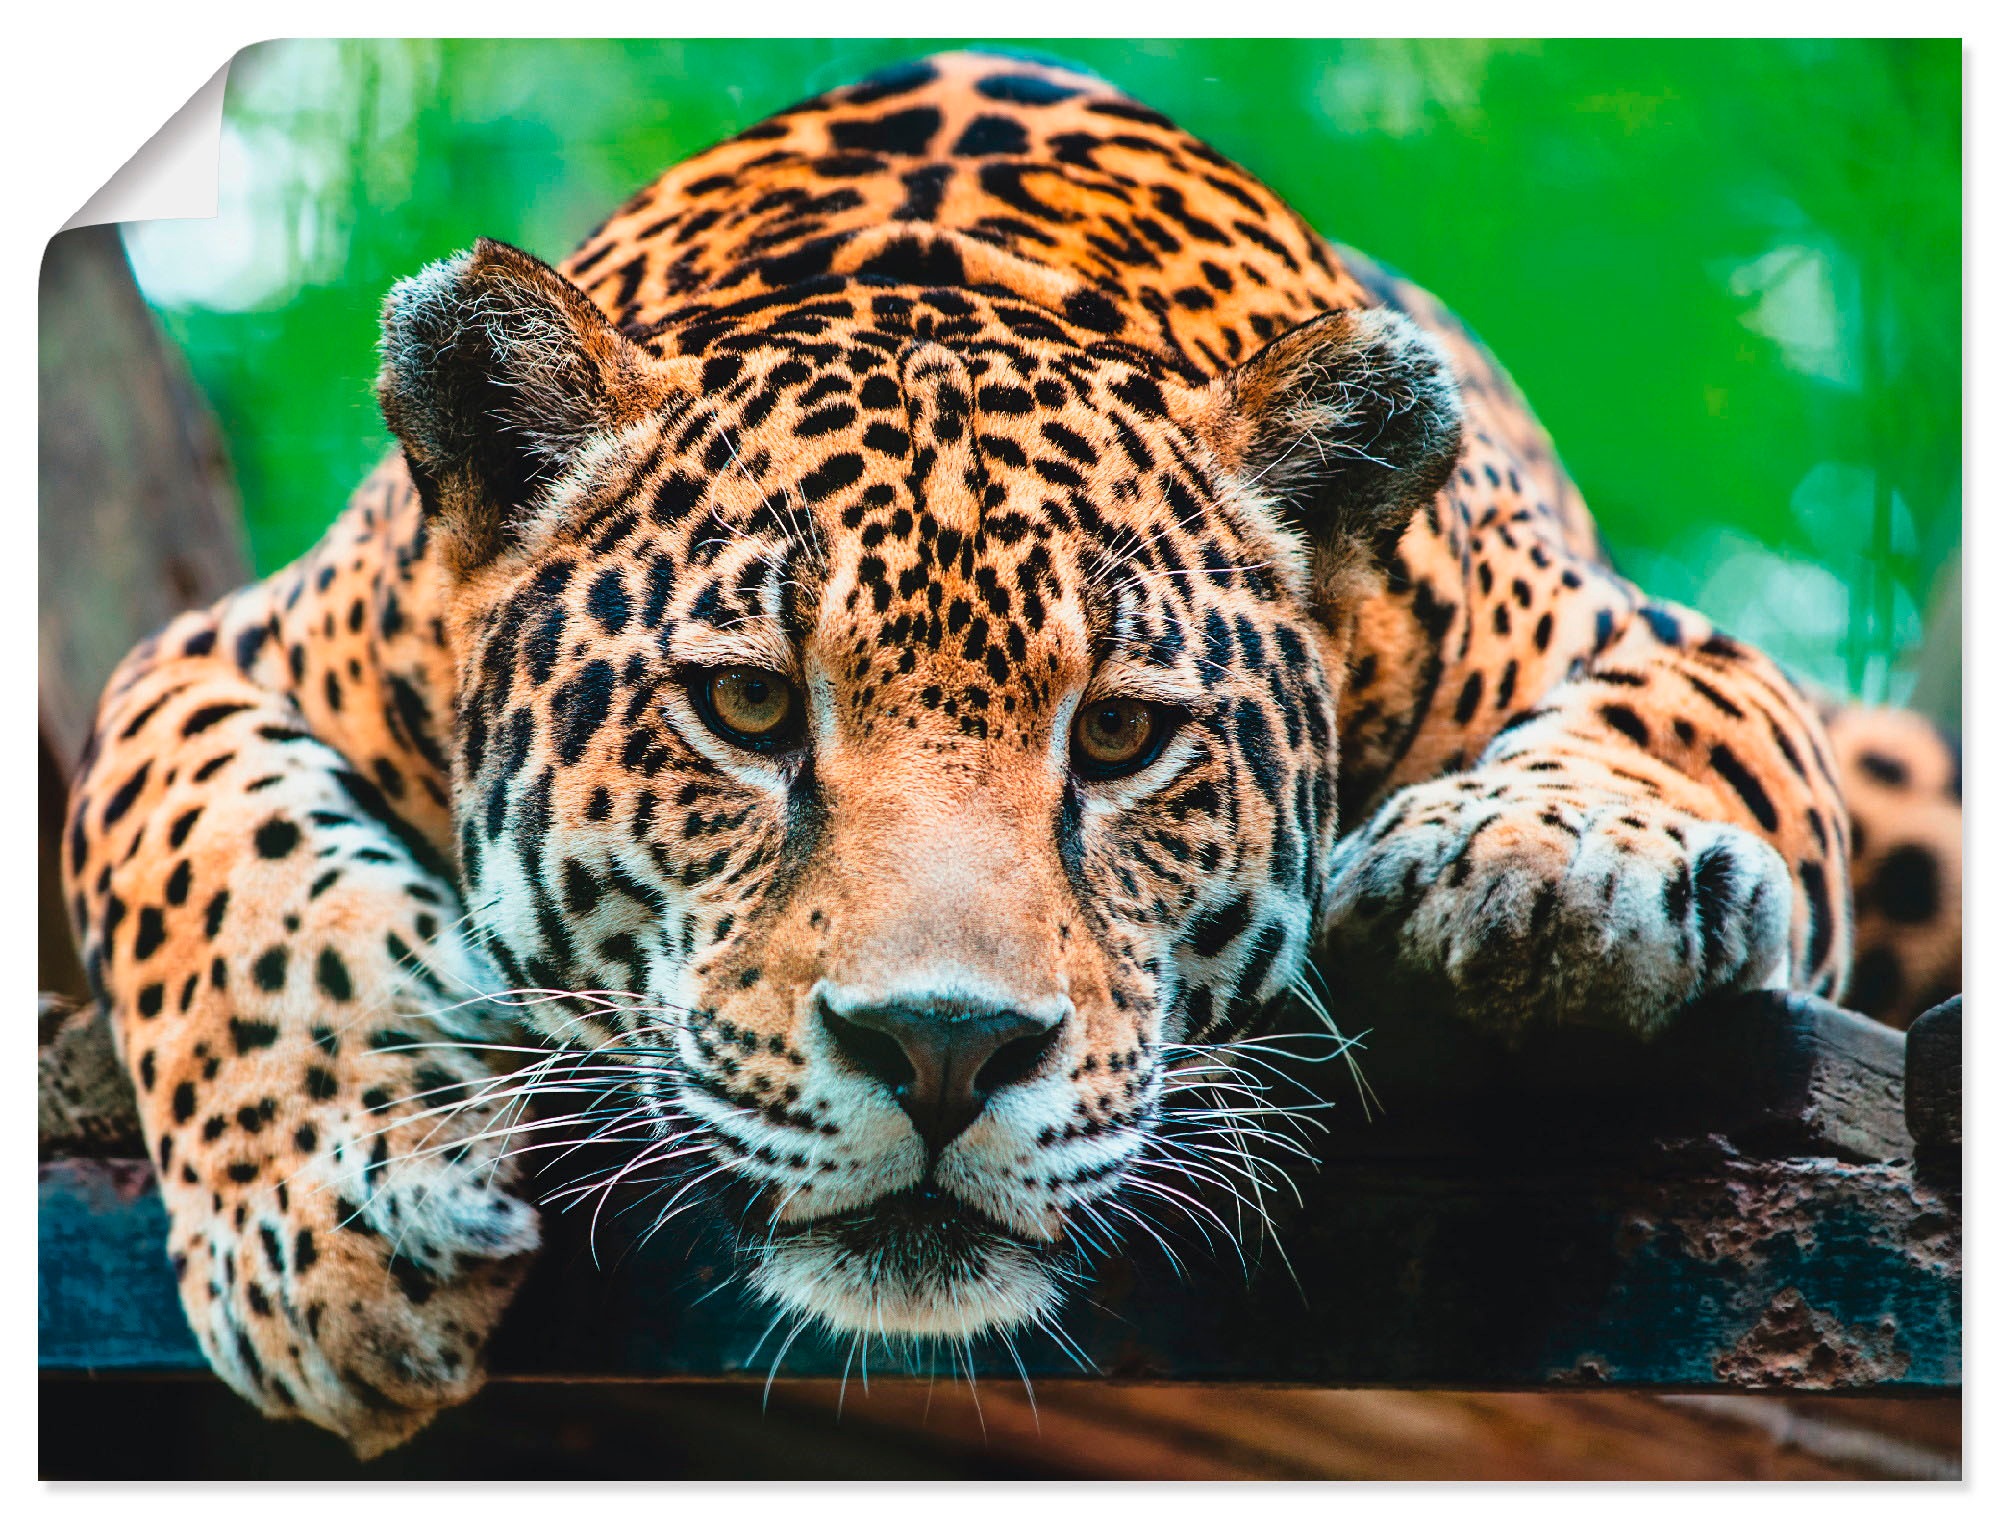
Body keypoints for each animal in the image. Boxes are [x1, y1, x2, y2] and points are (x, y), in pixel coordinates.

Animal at [61, 50, 1962, 1455]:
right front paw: (327, 1229)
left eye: (1120, 735)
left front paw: (1545, 861)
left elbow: (1684, 727)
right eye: (749, 709)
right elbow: (211, 866)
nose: (942, 1048)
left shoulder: (1650, 637)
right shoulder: (220, 652)